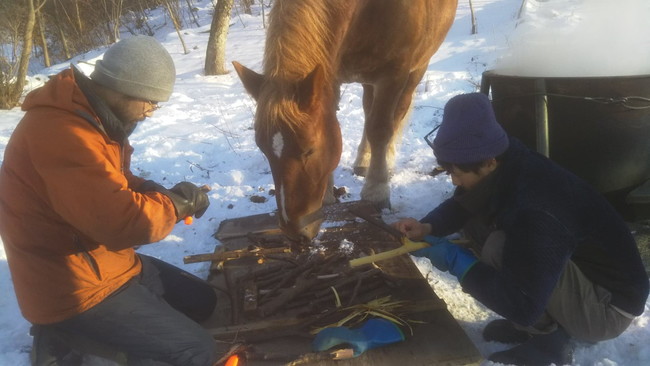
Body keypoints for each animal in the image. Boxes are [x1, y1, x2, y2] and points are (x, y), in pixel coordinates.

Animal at [234, 1, 456, 244]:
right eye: (263, 150)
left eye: (309, 150)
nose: (294, 232)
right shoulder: (331, 73)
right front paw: (327, 196)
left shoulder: (393, 75)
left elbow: (381, 129)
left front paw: (376, 192)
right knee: (369, 111)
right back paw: (363, 160)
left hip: (416, 70)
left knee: (394, 116)